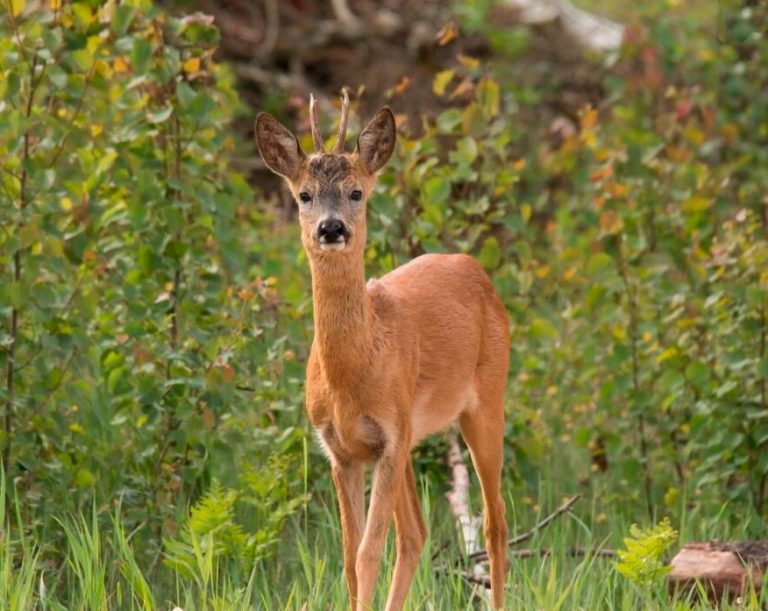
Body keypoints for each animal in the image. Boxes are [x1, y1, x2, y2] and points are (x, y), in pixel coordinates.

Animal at [256, 93, 510, 608]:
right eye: (304, 195)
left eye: (356, 193)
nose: (331, 228)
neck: (352, 374)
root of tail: (478, 271)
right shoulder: (342, 450)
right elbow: (349, 559)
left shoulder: (389, 439)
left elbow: (368, 553)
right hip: (413, 436)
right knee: (416, 533)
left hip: (486, 401)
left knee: (495, 525)